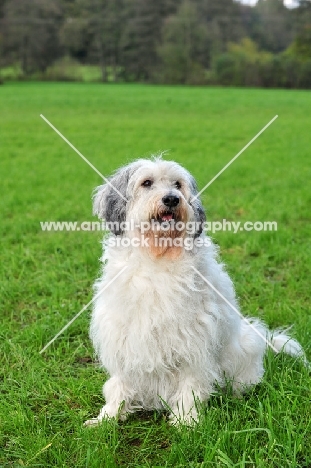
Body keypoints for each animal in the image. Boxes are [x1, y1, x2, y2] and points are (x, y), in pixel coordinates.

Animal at [84, 158, 308, 428]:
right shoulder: (124, 336)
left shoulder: (193, 342)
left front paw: (186, 422)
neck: (158, 257)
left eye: (177, 184)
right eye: (146, 183)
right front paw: (108, 417)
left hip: (244, 348)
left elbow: (190, 387)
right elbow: (118, 384)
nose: (172, 199)